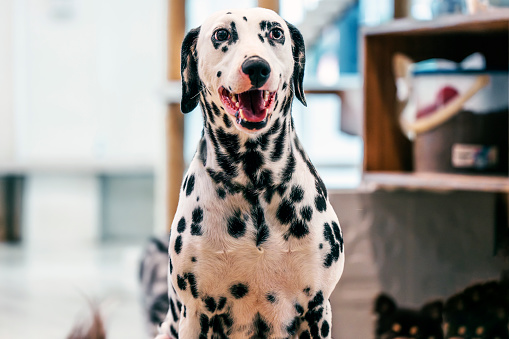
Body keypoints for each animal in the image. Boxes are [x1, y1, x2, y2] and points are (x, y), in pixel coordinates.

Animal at [157, 7, 344, 339]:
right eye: (221, 34)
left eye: (276, 33)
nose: (257, 67)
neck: (255, 181)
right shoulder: (196, 312)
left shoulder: (317, 309)